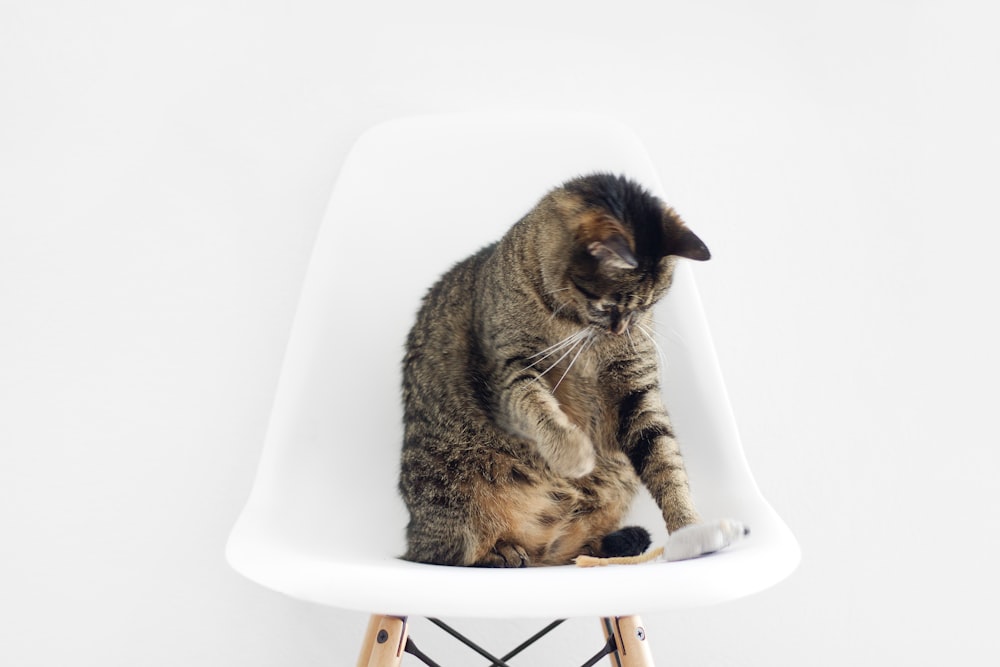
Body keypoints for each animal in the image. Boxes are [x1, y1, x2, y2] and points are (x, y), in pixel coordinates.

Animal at [398, 174, 712, 568]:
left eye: (646, 307)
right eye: (608, 306)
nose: (621, 330)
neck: (578, 329)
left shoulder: (636, 388)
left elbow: (667, 461)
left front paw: (690, 528)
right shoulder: (511, 372)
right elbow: (538, 408)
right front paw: (574, 452)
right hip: (450, 495)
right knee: (453, 555)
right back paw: (502, 552)